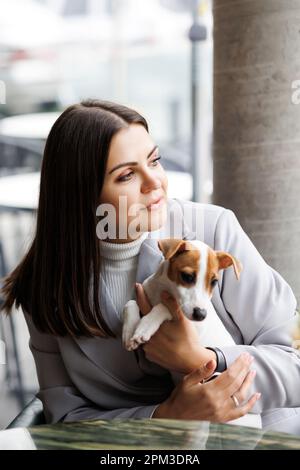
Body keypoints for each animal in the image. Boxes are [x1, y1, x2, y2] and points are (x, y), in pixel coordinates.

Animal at [121, 241, 260, 428]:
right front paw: (129, 331)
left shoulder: (190, 324)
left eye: (214, 282)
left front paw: (145, 326)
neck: (164, 290)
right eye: (187, 277)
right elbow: (130, 303)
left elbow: (164, 307)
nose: (201, 314)